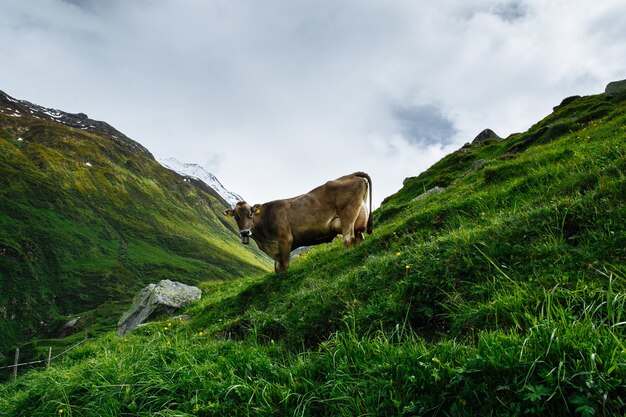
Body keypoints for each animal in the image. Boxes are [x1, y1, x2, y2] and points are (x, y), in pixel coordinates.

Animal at [223, 171, 370, 272]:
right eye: (236, 217)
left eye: (250, 214)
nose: (245, 232)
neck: (264, 241)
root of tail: (351, 175)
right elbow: (277, 268)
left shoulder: (285, 240)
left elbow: (284, 266)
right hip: (358, 217)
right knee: (359, 237)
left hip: (348, 215)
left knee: (348, 239)